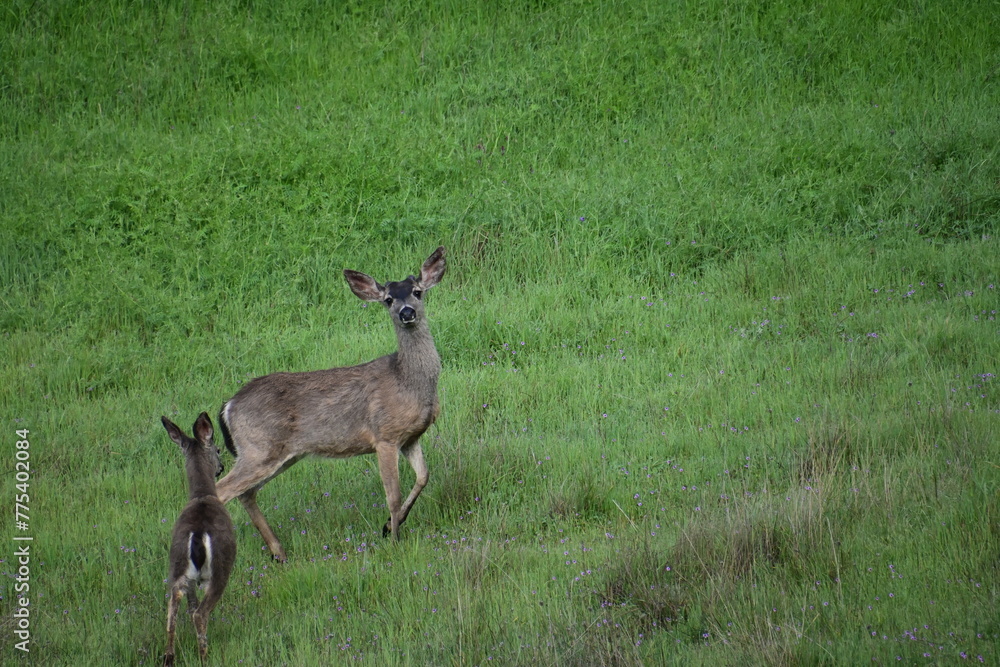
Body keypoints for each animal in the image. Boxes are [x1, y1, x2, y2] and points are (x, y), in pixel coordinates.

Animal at [162, 414, 236, 664]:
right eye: (218, 448)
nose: (220, 468)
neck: (203, 494)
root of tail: (197, 535)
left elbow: (190, 603)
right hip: (220, 568)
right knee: (200, 614)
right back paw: (205, 657)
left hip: (177, 565)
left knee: (174, 605)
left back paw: (169, 656)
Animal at [217, 248, 448, 560]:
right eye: (388, 299)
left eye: (417, 292)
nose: (407, 313)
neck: (408, 381)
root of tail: (228, 406)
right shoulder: (384, 436)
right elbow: (393, 494)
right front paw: (394, 540)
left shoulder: (411, 437)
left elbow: (423, 477)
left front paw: (390, 525)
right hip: (258, 449)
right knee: (220, 491)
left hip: (276, 454)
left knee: (246, 493)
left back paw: (279, 553)